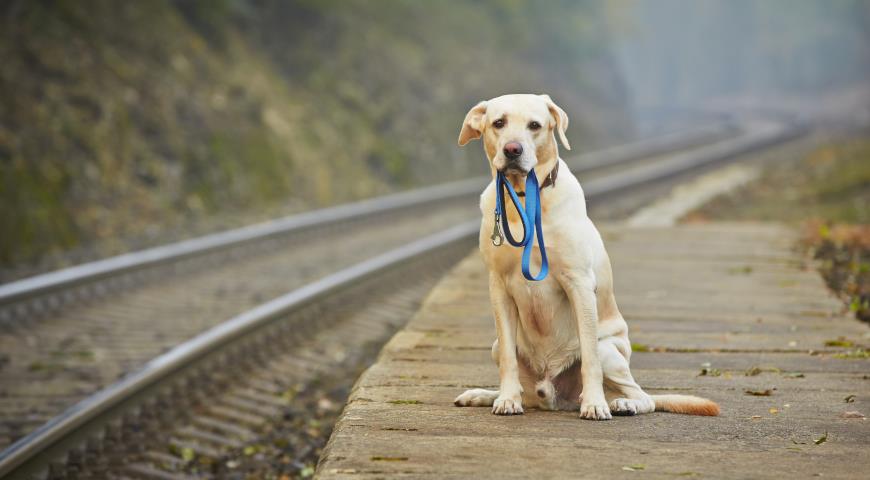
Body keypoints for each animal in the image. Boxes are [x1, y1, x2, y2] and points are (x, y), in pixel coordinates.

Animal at [454, 94, 720, 420]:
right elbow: (508, 358)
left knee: (642, 396)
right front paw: (505, 399)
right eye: (499, 123)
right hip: (498, 348)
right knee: (521, 383)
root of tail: (554, 396)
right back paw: (485, 395)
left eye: (535, 125)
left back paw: (621, 403)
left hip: (611, 352)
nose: (512, 149)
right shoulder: (499, 287)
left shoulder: (579, 284)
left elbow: (589, 357)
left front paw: (594, 403)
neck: (526, 200)